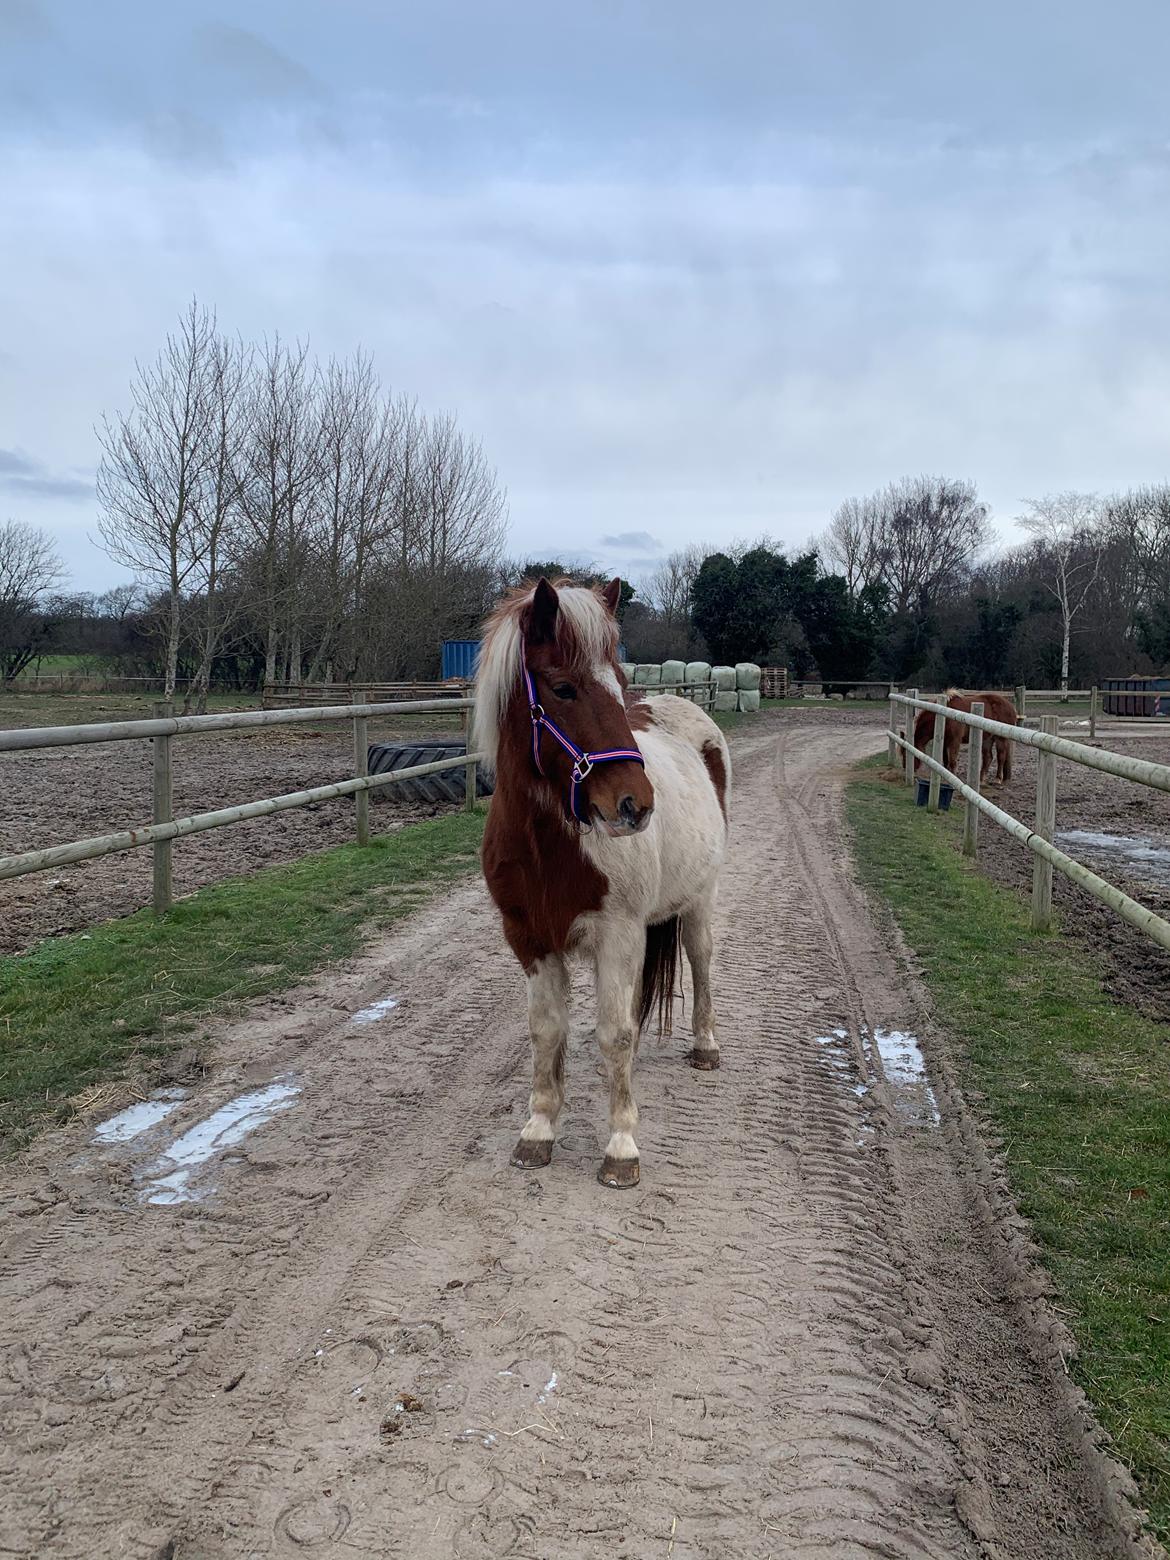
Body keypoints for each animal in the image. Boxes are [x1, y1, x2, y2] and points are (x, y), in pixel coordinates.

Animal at [471, 580, 730, 1185]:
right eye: (563, 687)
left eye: (620, 684)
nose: (636, 804)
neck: (548, 845)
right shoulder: (530, 940)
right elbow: (547, 1030)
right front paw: (538, 1131)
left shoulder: (618, 934)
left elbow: (616, 1033)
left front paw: (621, 1146)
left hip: (698, 900)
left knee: (700, 958)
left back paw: (705, 1045)